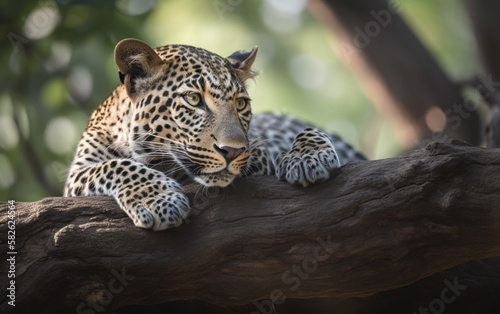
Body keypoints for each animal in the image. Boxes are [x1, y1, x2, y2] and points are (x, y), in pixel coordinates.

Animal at [64, 38, 366, 231]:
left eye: (240, 104)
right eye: (194, 99)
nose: (232, 151)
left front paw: (305, 156)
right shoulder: (76, 177)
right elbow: (115, 166)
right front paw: (159, 200)